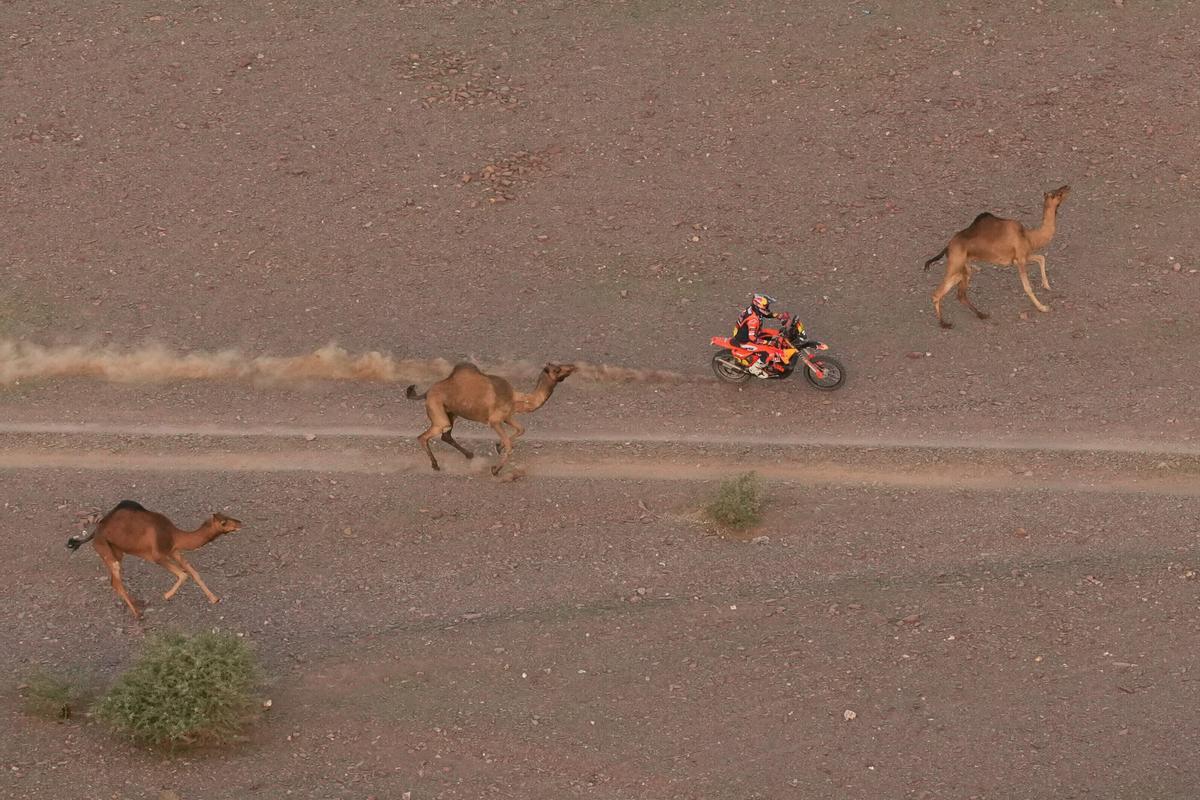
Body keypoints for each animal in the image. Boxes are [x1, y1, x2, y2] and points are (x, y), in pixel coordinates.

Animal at [66, 500, 243, 619]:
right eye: (224, 522)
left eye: (228, 516)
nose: (240, 523)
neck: (174, 535)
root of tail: (96, 532)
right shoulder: (158, 555)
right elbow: (183, 574)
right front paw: (166, 596)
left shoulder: (174, 551)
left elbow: (193, 573)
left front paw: (214, 598)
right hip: (105, 549)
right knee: (116, 581)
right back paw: (137, 614)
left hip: (117, 551)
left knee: (114, 580)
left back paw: (137, 603)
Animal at [405, 362, 577, 475]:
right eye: (557, 369)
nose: (572, 367)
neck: (515, 398)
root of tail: (426, 392)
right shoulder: (494, 421)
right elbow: (510, 444)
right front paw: (495, 469)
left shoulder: (508, 416)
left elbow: (521, 429)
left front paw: (498, 446)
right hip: (438, 411)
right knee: (425, 436)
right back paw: (435, 465)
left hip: (451, 412)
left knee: (446, 435)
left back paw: (469, 455)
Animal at [924, 185, 1071, 328]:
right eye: (1057, 194)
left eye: (1057, 189)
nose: (1067, 187)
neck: (1030, 237)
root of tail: (948, 247)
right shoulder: (1021, 259)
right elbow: (1028, 287)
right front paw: (1043, 307)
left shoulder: (1020, 257)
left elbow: (1041, 258)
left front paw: (1047, 286)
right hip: (955, 263)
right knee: (937, 294)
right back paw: (945, 324)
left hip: (964, 268)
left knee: (960, 294)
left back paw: (982, 314)